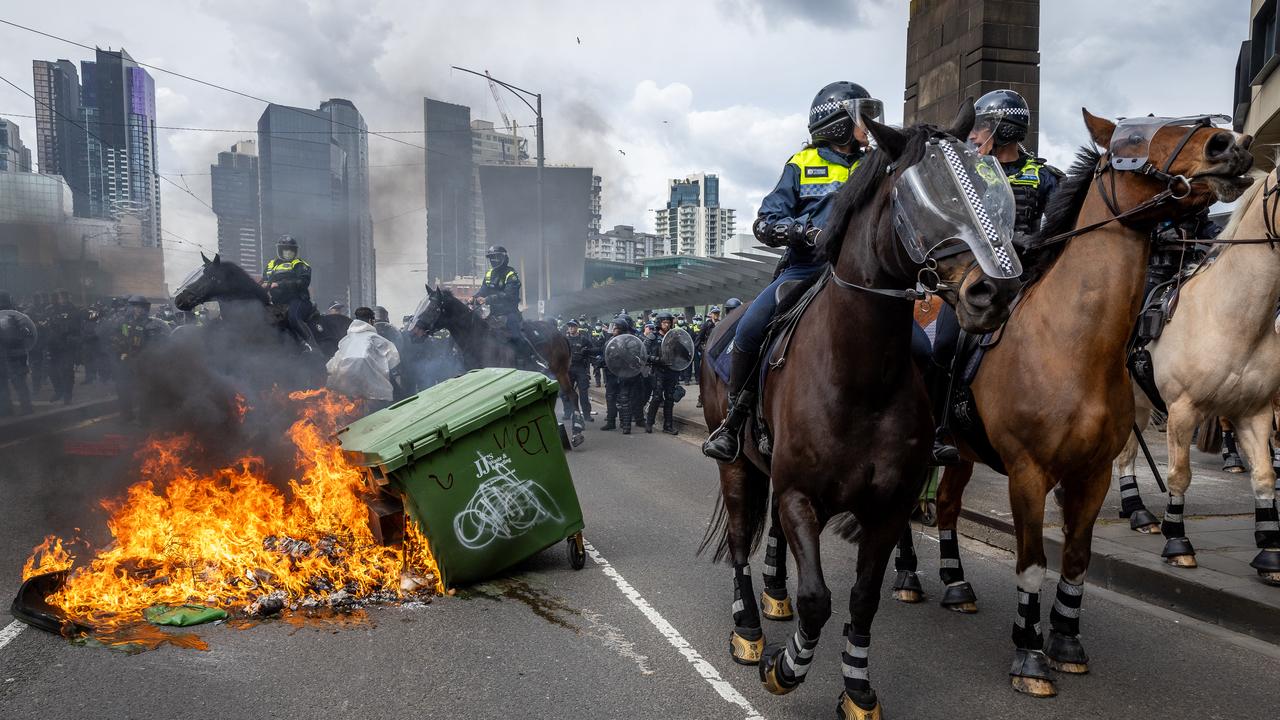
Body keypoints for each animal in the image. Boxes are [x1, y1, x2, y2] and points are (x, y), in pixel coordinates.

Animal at [412, 283, 586, 445]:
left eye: (433, 308)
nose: (413, 334)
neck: (480, 339)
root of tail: (560, 334)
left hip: (560, 371)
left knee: (572, 395)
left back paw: (577, 431)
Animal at [696, 103, 1024, 712]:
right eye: (922, 198)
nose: (994, 292)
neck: (859, 380)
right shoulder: (801, 494)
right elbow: (818, 598)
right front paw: (786, 668)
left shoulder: (887, 507)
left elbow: (863, 598)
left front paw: (856, 688)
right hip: (734, 463)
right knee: (739, 539)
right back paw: (749, 628)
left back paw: (772, 598)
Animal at [890, 110, 1249, 696]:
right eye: (1133, 139)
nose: (1231, 143)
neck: (1071, 344)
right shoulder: (1028, 473)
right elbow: (1033, 561)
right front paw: (1030, 653)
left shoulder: (1092, 473)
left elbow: (1077, 559)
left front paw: (1065, 640)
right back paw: (906, 575)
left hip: (961, 452)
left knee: (944, 505)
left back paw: (956, 583)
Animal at [1111, 166, 1280, 584]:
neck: (1234, 317)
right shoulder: (1183, 410)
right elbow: (1179, 475)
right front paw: (1177, 542)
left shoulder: (1254, 412)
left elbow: (1265, 476)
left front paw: (1270, 552)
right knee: (1123, 453)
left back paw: (1135, 511)